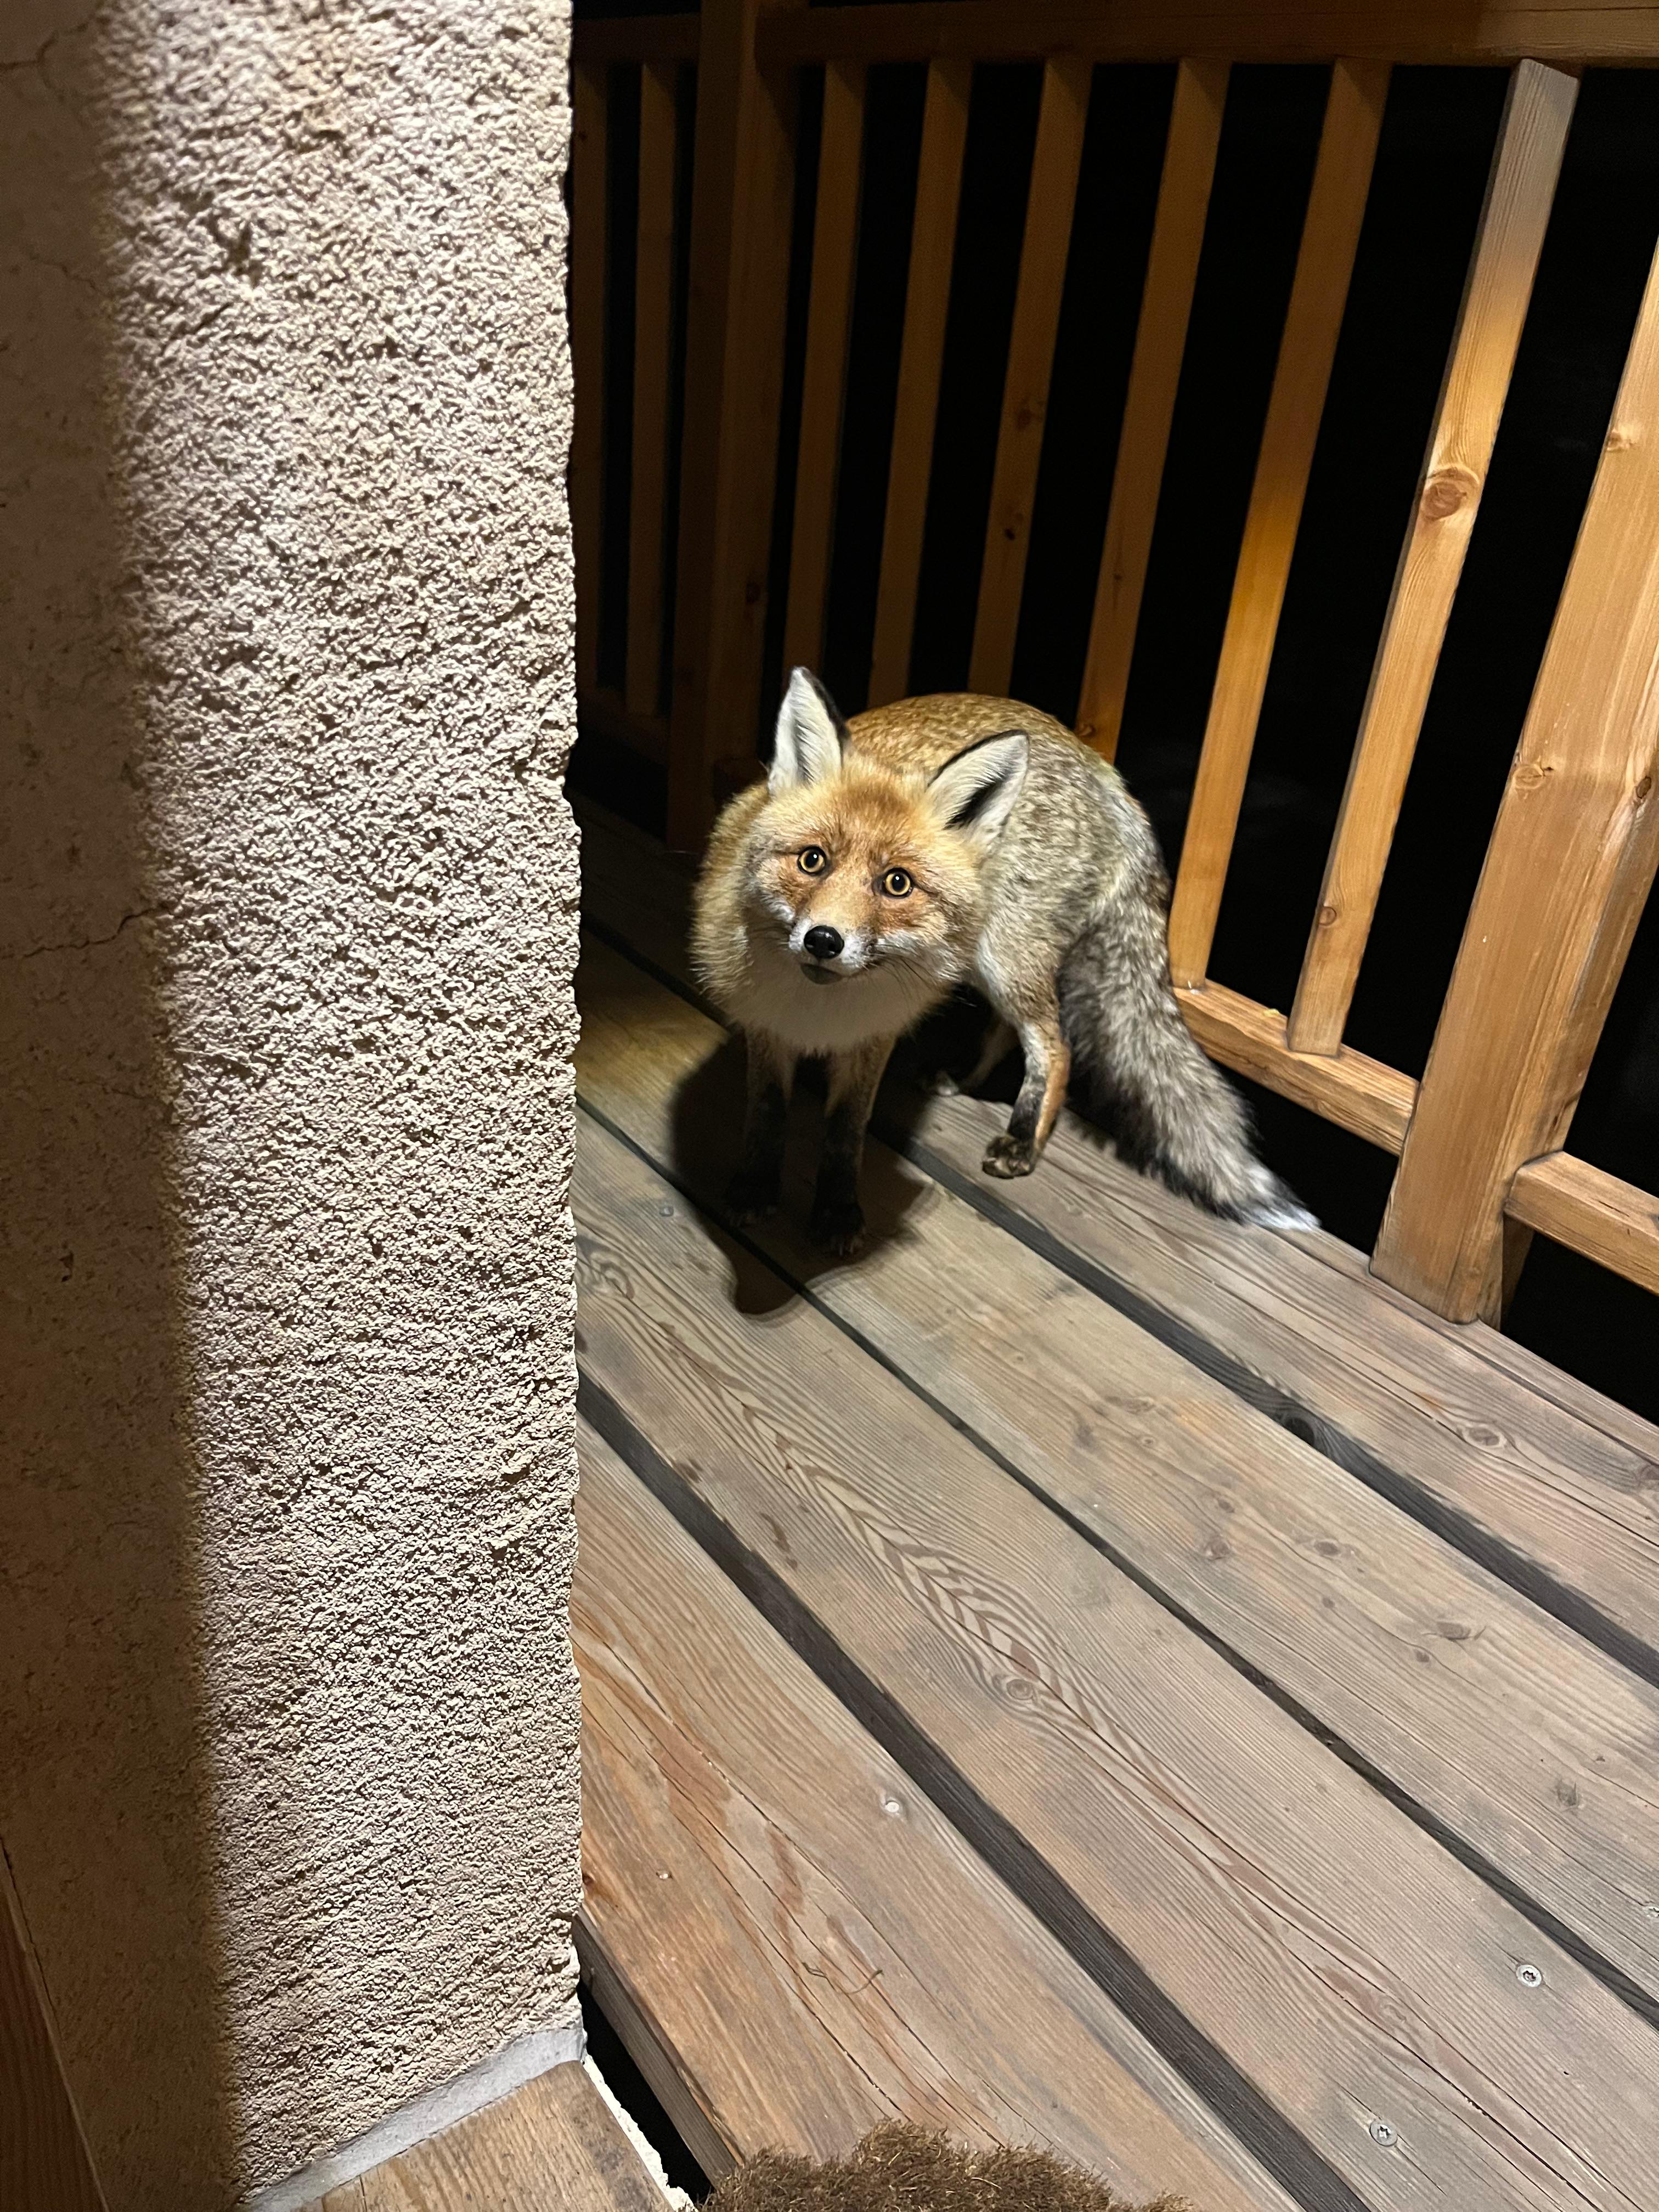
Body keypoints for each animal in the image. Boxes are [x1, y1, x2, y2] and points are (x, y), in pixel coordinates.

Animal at [691, 667, 1315, 1255]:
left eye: (896, 884)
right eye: (812, 861)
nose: (824, 941)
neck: (820, 1010)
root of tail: (1104, 771)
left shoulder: (874, 1040)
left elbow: (847, 1132)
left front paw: (838, 1212)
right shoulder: (766, 1025)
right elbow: (767, 1113)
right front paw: (755, 1187)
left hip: (1007, 959)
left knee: (1054, 1046)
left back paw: (1023, 1140)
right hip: (982, 962)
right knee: (1005, 1031)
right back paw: (964, 1078)